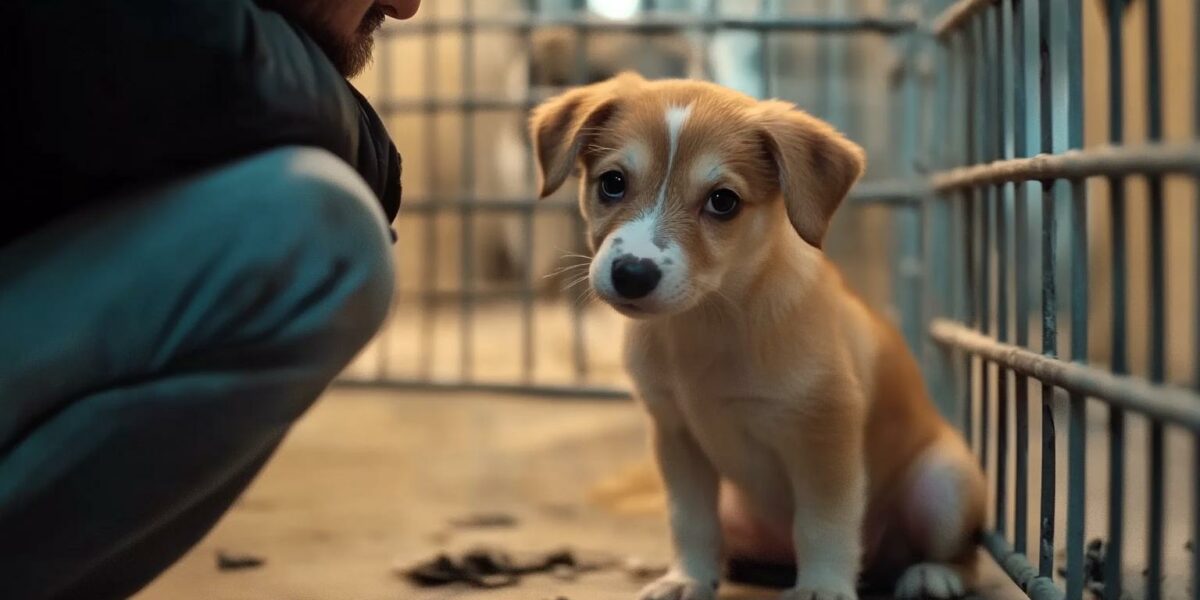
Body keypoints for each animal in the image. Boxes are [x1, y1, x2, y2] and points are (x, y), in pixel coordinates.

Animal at [532, 73, 984, 600]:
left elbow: (823, 525)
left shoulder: (825, 435)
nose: (632, 274)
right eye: (612, 183)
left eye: (723, 201)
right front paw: (688, 578)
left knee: (962, 553)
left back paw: (933, 575)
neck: (708, 321)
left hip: (944, 486)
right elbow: (690, 520)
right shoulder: (676, 435)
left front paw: (823, 587)